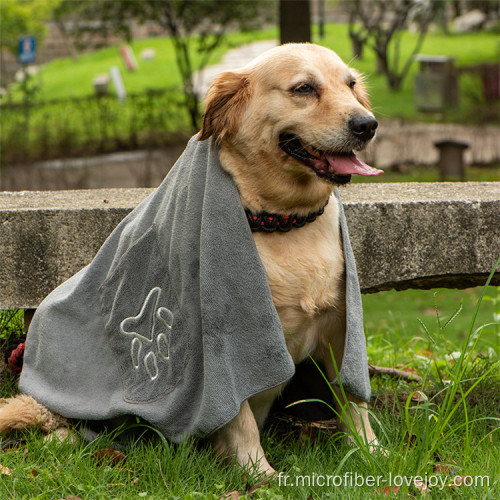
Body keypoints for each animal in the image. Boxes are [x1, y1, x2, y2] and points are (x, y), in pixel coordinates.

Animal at [0, 44, 378, 476]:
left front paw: (372, 453)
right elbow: (241, 418)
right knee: (51, 419)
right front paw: (258, 473)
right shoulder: (224, 347)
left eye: (351, 85)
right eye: (304, 88)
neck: (284, 222)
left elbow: (354, 401)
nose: (367, 124)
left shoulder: (340, 328)